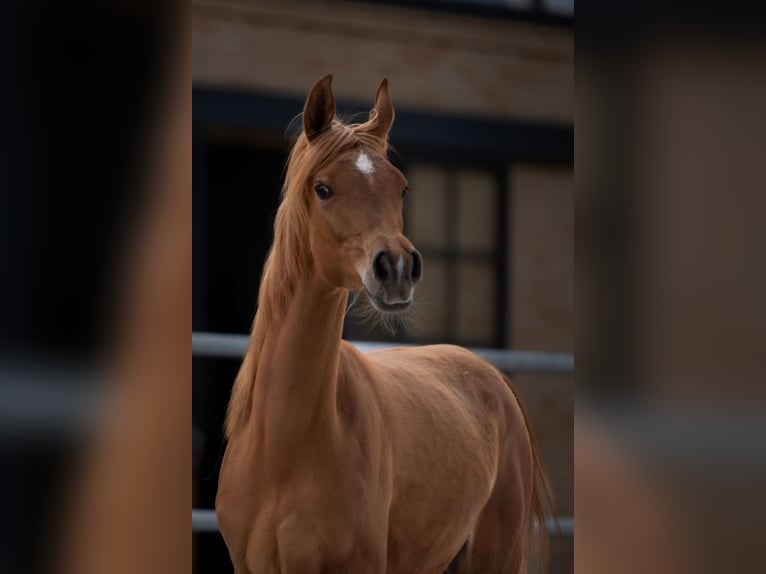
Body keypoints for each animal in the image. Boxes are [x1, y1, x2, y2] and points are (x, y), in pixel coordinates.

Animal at [216, 74, 555, 573]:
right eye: (323, 188)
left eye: (402, 188)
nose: (395, 267)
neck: (281, 446)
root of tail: (492, 376)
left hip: (496, 553)